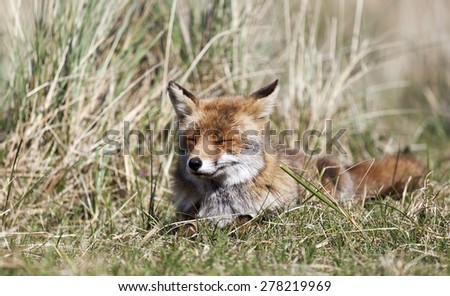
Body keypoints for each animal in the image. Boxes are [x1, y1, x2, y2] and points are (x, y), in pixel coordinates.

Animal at [168, 80, 426, 228]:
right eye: (192, 139)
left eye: (223, 140)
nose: (194, 163)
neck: (222, 200)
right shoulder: (186, 214)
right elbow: (186, 226)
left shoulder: (278, 211)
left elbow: (246, 220)